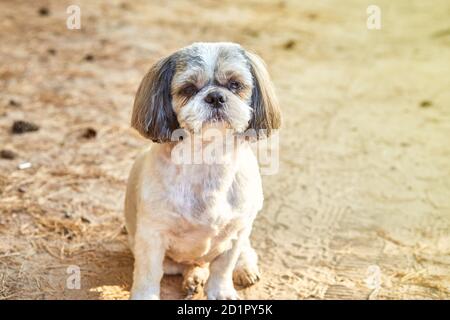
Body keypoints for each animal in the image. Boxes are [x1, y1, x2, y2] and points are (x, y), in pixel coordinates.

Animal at [125, 42, 280, 300]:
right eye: (188, 88)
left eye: (235, 84)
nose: (215, 96)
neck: (208, 160)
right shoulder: (151, 236)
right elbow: (148, 275)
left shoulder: (236, 232)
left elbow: (223, 267)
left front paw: (221, 291)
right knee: (189, 265)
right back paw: (193, 277)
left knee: (242, 252)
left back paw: (243, 267)